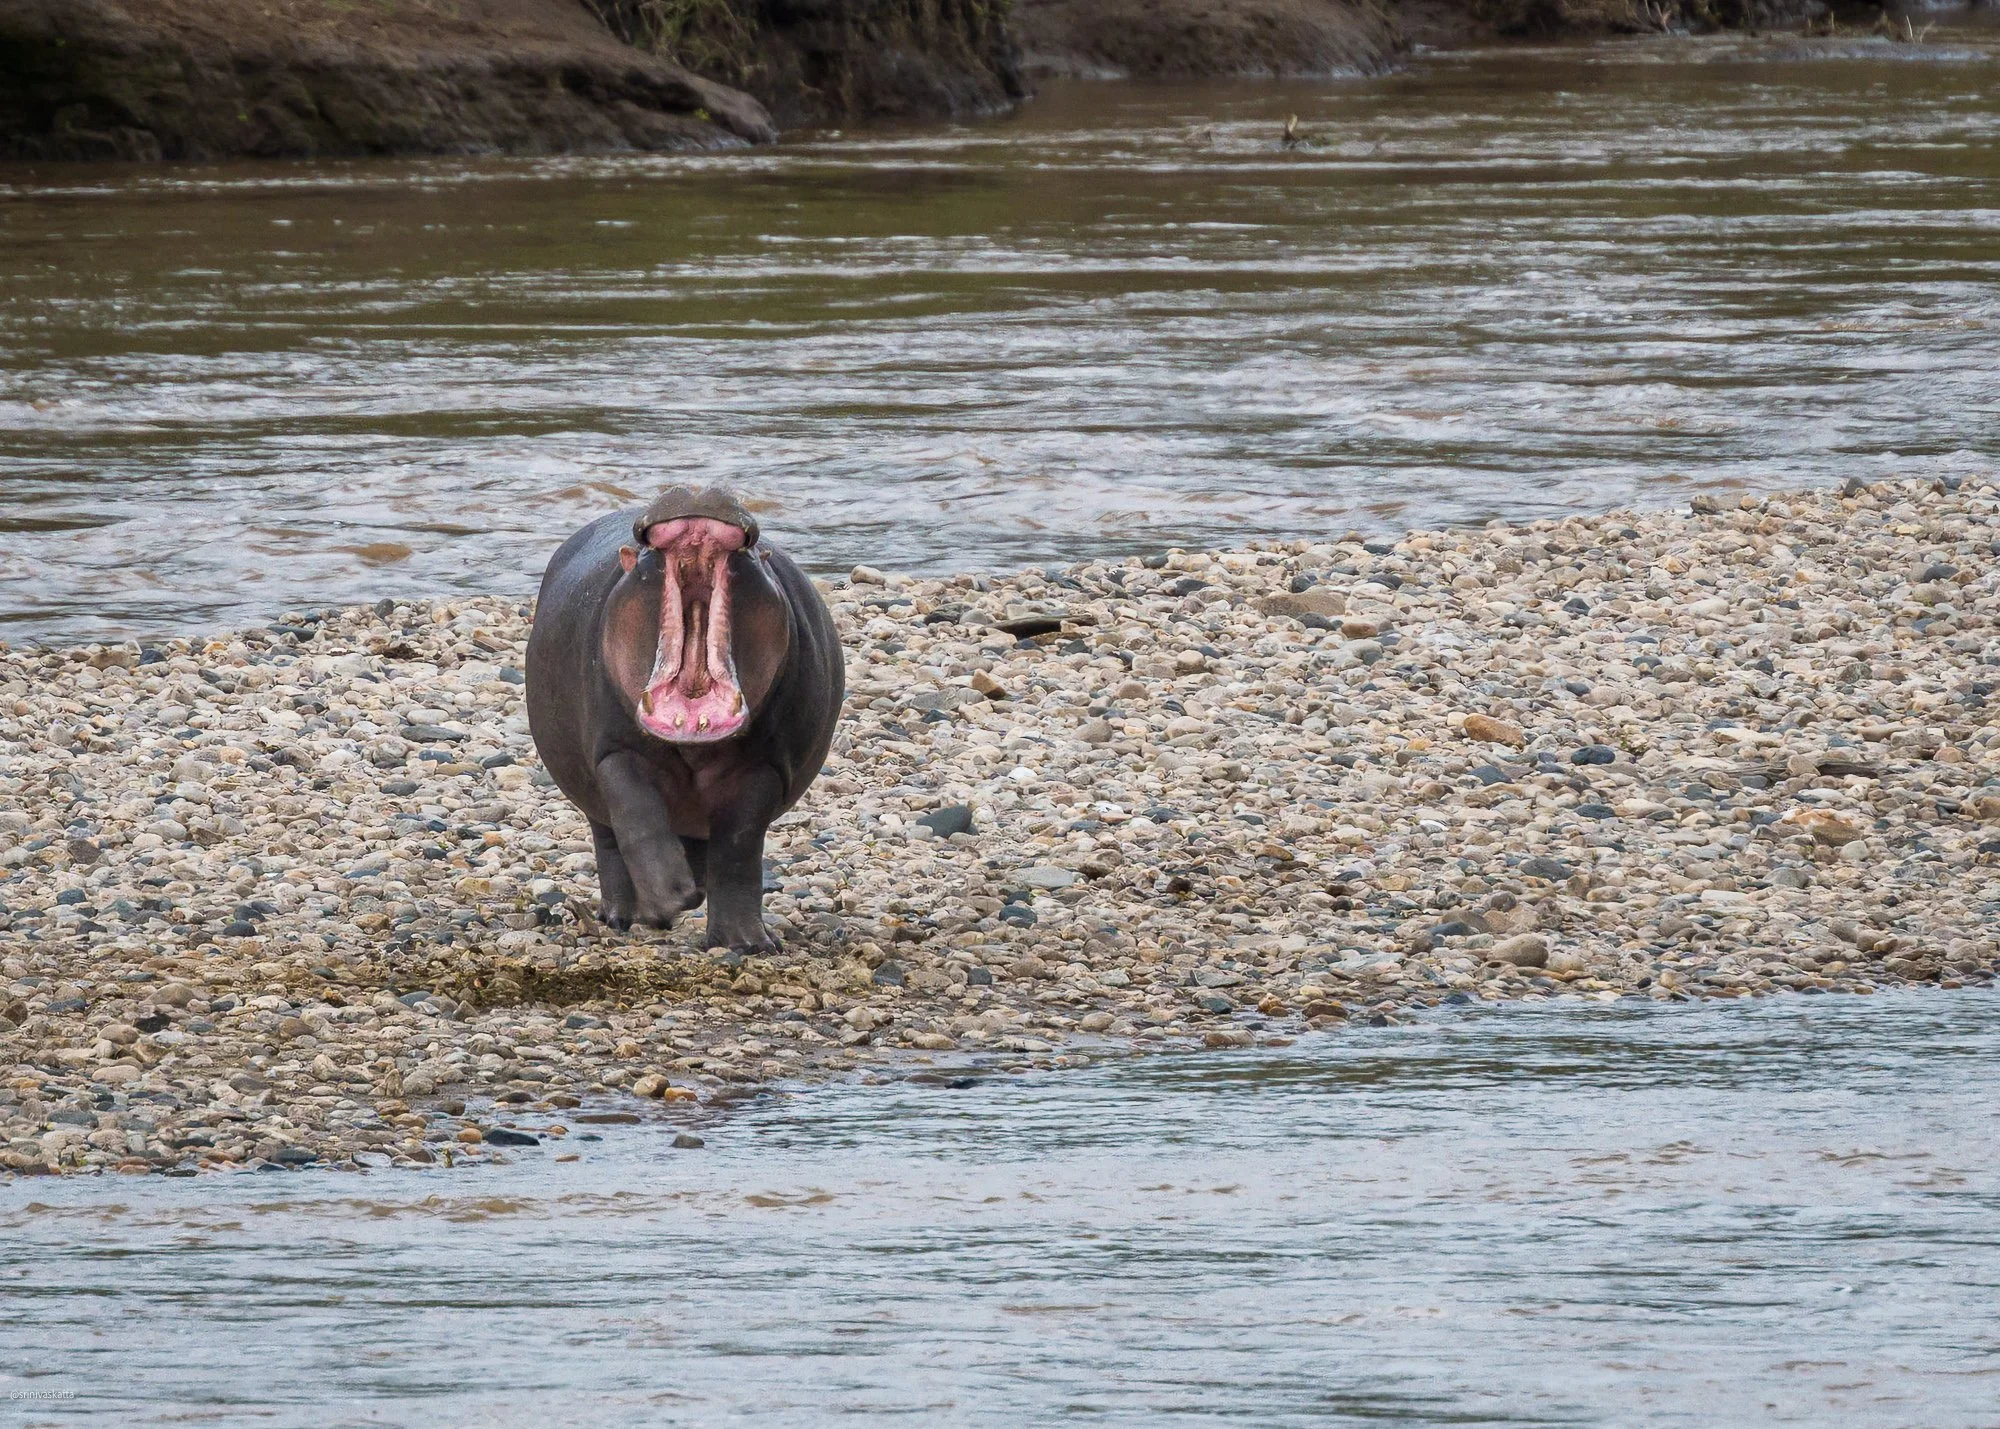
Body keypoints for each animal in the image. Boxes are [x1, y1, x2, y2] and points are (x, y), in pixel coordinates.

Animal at [525, 486, 843, 952]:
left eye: (753, 556)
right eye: (641, 555)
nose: (697, 489)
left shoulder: (764, 765)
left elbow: (738, 849)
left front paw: (746, 944)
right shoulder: (614, 752)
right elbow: (638, 817)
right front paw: (671, 897)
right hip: (590, 793)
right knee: (609, 842)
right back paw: (624, 917)